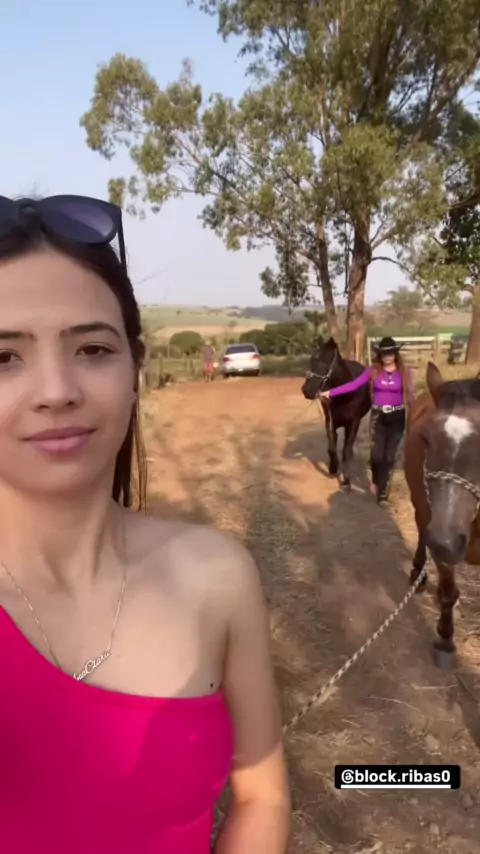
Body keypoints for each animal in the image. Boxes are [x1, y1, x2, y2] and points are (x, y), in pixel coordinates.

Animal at [301, 336, 371, 489]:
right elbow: (332, 447)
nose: (307, 390)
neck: (346, 395)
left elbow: (347, 450)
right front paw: (333, 467)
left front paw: (346, 480)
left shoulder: (353, 423)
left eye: (326, 360)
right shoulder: (331, 421)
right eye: (312, 360)